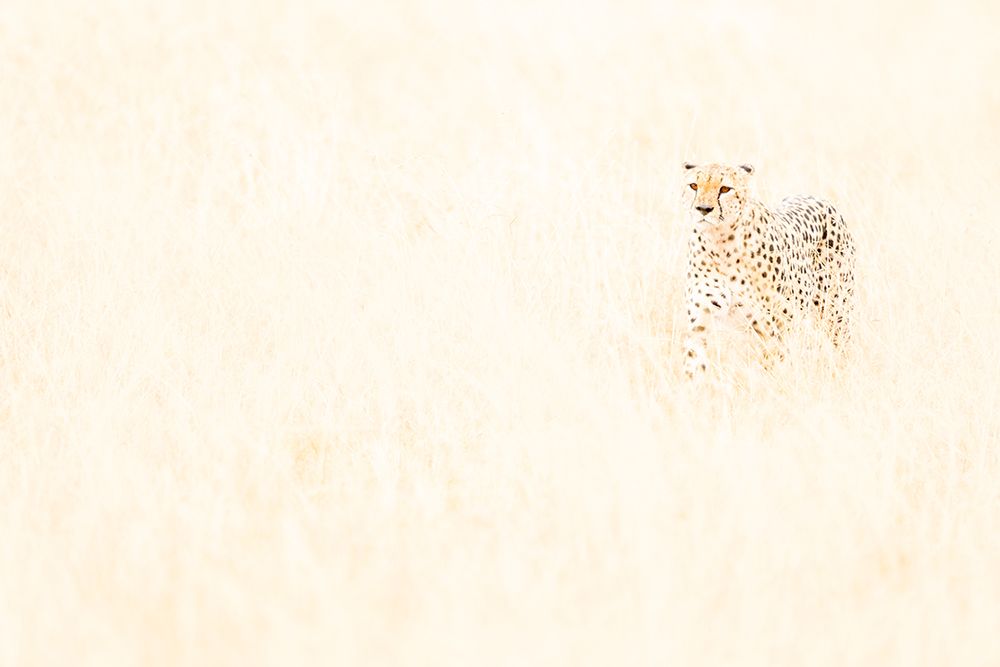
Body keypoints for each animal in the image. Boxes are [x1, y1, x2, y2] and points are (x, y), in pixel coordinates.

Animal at [679, 162, 855, 379]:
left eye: (725, 189)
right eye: (694, 186)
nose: (703, 209)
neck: (719, 241)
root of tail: (816, 198)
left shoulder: (773, 323)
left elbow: (771, 362)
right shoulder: (701, 320)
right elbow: (695, 362)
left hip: (834, 310)